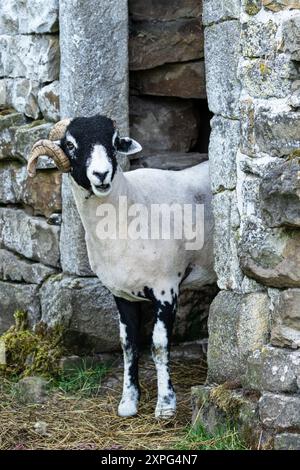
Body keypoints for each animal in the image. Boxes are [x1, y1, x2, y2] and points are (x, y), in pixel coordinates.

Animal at [27, 114, 216, 418]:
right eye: (70, 144)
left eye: (114, 142)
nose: (101, 175)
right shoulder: (121, 293)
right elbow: (128, 346)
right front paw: (128, 401)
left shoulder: (166, 288)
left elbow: (159, 346)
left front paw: (166, 405)